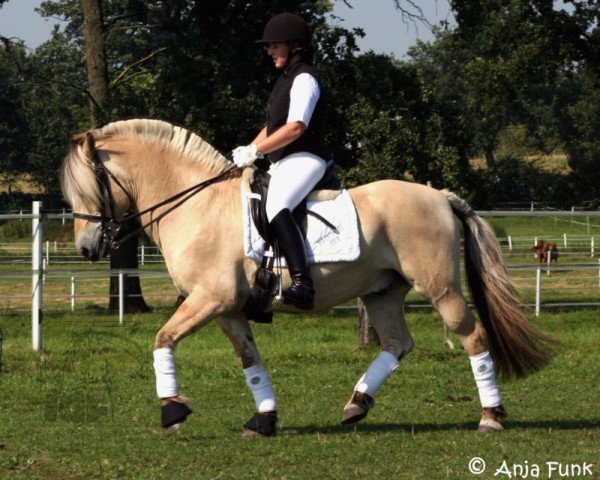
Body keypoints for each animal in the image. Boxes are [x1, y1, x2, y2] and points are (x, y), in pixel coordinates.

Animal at [59, 118, 552, 436]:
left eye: (90, 187)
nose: (86, 249)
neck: (196, 205)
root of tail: (440, 196)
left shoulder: (209, 300)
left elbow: (162, 340)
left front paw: (171, 412)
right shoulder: (225, 309)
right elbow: (249, 360)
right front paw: (264, 419)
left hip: (441, 287)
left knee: (473, 337)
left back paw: (490, 417)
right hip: (382, 292)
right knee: (397, 343)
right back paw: (356, 405)